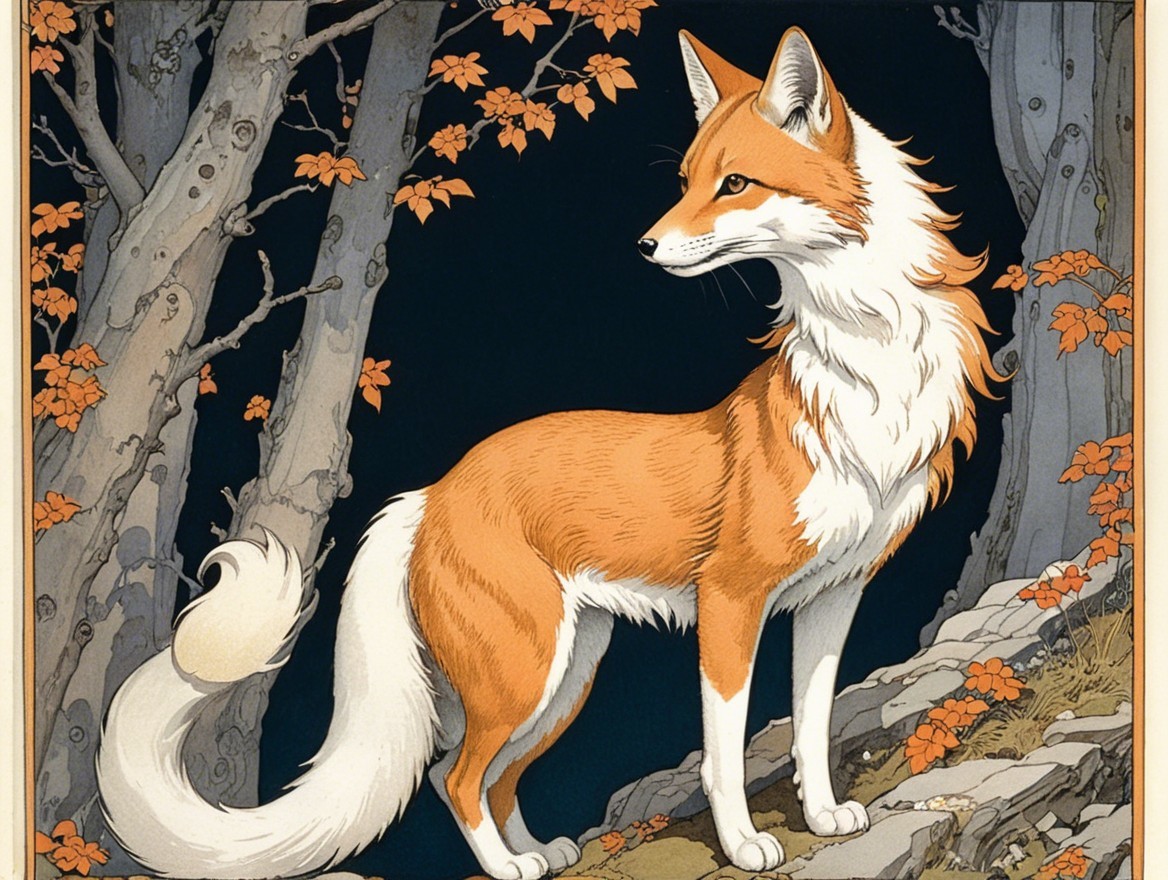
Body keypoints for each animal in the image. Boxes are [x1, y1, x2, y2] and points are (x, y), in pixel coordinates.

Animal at [97, 26, 998, 880]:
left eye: (735, 184)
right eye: (686, 180)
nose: (644, 245)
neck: (868, 385)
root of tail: (430, 492)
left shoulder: (834, 596)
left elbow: (810, 727)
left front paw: (823, 817)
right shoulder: (730, 604)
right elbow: (723, 754)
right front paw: (744, 845)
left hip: (567, 672)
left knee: (488, 778)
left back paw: (537, 852)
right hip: (527, 672)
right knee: (456, 778)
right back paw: (508, 866)